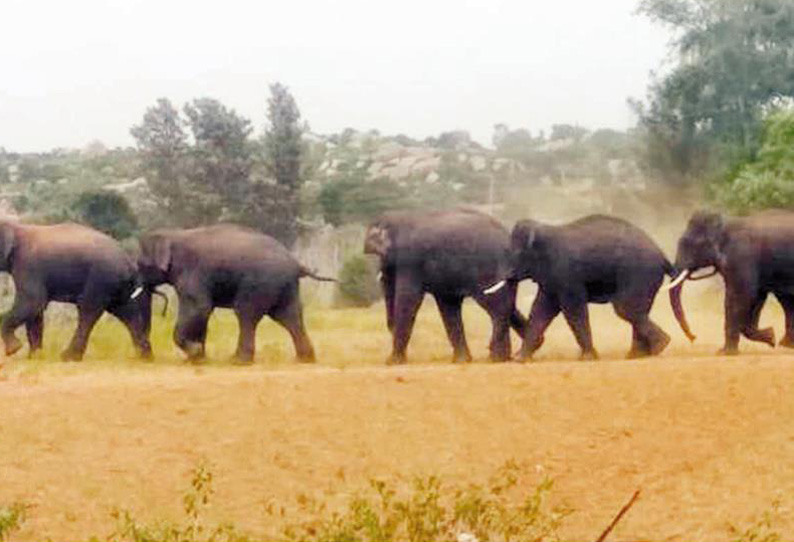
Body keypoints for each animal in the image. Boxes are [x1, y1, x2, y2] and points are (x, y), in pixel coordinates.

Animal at [0, 221, 152, 362]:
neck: (15, 227)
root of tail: (130, 264)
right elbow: (36, 310)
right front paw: (34, 357)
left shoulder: (28, 265)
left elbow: (33, 302)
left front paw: (14, 349)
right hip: (117, 286)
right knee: (127, 313)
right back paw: (145, 357)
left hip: (101, 278)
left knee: (88, 310)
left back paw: (68, 357)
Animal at [138, 223, 332, 364]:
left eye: (140, 265)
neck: (173, 234)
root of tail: (296, 263)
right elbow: (203, 313)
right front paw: (197, 359)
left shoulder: (192, 273)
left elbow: (199, 308)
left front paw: (196, 353)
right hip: (284, 286)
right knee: (289, 316)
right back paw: (304, 359)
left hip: (260, 284)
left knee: (246, 314)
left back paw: (238, 361)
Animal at [364, 208, 524, 366]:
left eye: (382, 255)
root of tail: (506, 234)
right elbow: (448, 306)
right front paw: (461, 361)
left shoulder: (410, 260)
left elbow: (409, 299)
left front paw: (392, 362)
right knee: (509, 306)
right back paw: (507, 357)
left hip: (488, 268)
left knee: (495, 306)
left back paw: (496, 358)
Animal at [504, 216, 688, 362]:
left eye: (518, 252)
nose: (509, 274)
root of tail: (663, 256)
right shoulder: (552, 280)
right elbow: (541, 310)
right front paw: (520, 359)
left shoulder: (567, 274)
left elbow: (573, 309)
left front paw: (587, 358)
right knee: (638, 310)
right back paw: (639, 354)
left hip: (640, 274)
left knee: (625, 308)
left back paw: (659, 346)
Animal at [672, 209, 794, 356]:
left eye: (689, 244)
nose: (693, 337)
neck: (726, 223)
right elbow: (755, 297)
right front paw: (770, 336)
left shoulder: (741, 256)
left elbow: (742, 296)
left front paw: (726, 353)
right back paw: (786, 345)